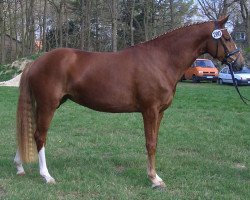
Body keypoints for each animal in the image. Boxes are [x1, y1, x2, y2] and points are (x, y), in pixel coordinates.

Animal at [13, 15, 244, 188]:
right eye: (226, 37)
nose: (239, 63)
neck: (161, 60)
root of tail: (35, 62)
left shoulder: (160, 112)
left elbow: (155, 141)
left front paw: (154, 176)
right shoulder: (149, 110)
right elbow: (150, 143)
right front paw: (154, 179)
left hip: (49, 104)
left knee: (28, 130)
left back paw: (19, 167)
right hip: (48, 105)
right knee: (39, 135)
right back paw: (46, 176)